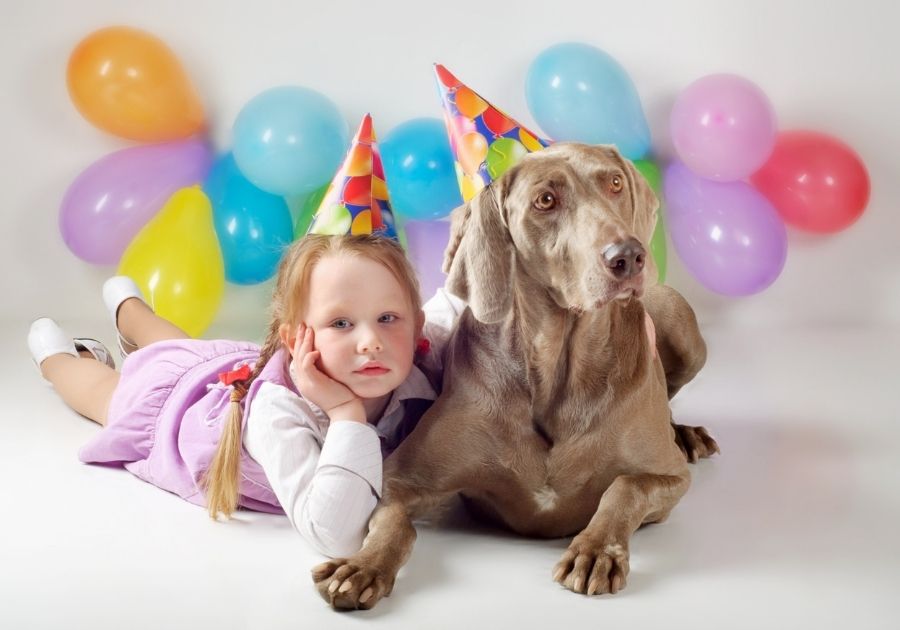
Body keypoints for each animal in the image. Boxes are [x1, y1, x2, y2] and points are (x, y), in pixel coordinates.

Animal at [312, 144, 716, 612]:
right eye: (546, 200)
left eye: (615, 183)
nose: (628, 256)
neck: (557, 373)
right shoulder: (402, 478)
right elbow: (397, 525)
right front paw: (363, 566)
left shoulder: (669, 476)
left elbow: (625, 487)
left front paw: (596, 550)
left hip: (682, 326)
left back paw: (684, 433)